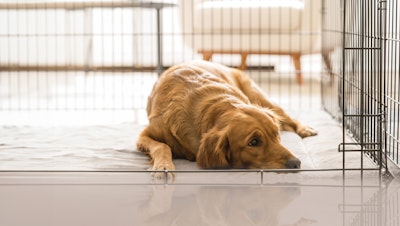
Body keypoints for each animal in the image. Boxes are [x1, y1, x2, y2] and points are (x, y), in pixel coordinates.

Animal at [136, 61, 318, 177]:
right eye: (253, 142)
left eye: (276, 134)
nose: (296, 163)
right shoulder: (144, 135)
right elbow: (162, 146)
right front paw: (163, 166)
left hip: (260, 97)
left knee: (287, 116)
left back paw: (305, 129)